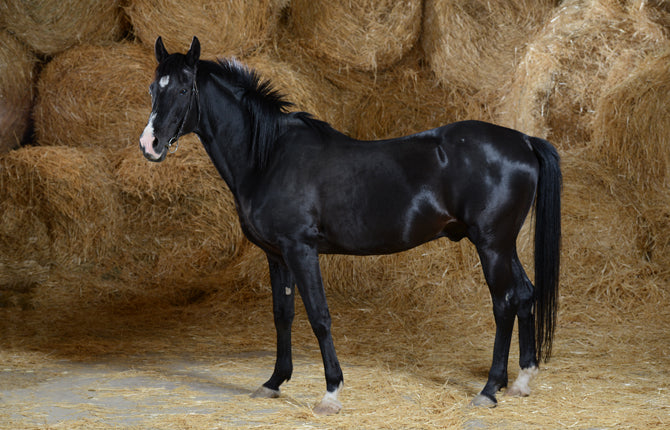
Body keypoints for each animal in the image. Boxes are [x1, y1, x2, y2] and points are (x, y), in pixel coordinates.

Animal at [139, 36, 561, 415]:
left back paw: (489, 389)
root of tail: (524, 140)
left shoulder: (300, 249)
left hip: (491, 245)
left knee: (504, 304)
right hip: (503, 245)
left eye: (182, 88)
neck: (270, 157)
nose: (150, 144)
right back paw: (522, 381)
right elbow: (282, 315)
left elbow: (319, 316)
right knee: (525, 294)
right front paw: (274, 382)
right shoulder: (277, 256)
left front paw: (331, 393)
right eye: (152, 88)